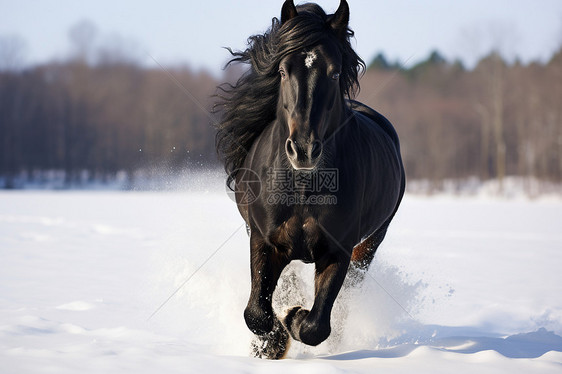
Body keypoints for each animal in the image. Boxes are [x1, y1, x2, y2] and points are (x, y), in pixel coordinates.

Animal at [213, 0, 402, 360]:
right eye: (283, 71)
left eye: (335, 72)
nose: (303, 149)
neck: (302, 187)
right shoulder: (263, 240)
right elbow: (256, 312)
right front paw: (271, 343)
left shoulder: (339, 251)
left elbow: (317, 325)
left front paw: (292, 317)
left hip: (368, 247)